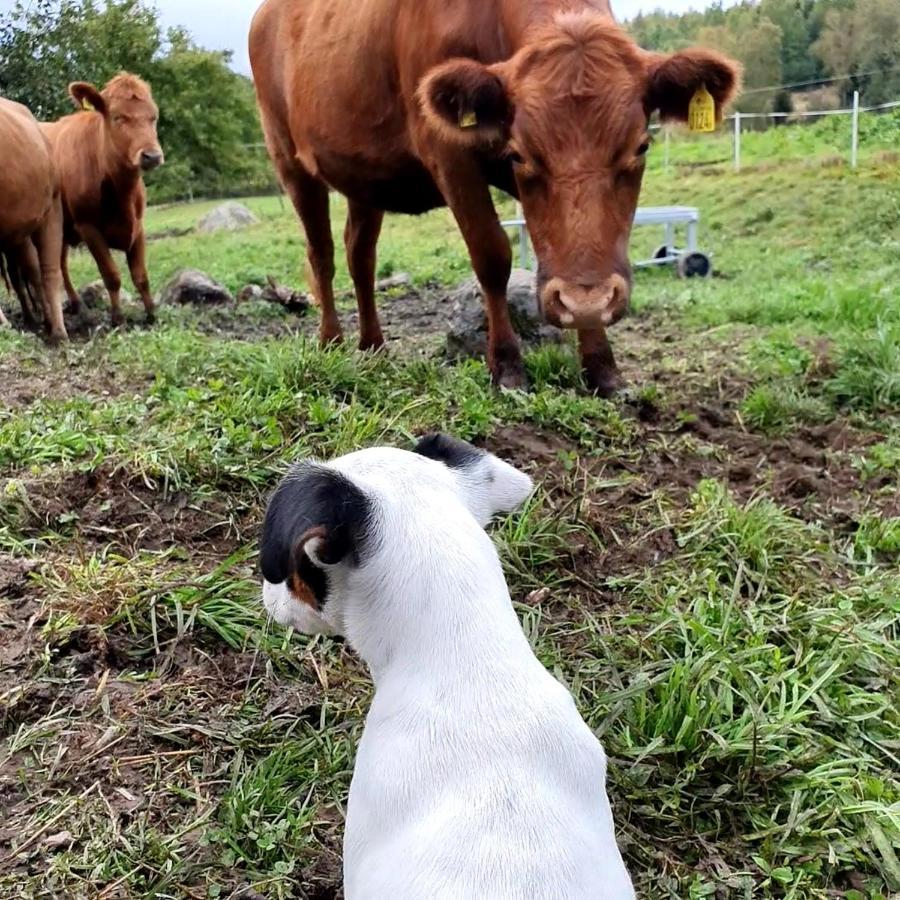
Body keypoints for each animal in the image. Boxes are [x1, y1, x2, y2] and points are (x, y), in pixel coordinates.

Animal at [43, 73, 165, 326]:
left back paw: (77, 304)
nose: (152, 156)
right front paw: (117, 318)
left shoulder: (138, 227)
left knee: (60, 264)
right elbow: (111, 275)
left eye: (153, 117)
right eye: (118, 117)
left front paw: (151, 314)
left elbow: (141, 276)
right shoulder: (88, 228)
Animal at [248, 0, 740, 394]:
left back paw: (373, 346)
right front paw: (506, 365)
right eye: (520, 153)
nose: (586, 303)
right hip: (288, 159)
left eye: (640, 146)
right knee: (322, 253)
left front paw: (602, 366)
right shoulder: (449, 154)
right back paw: (331, 342)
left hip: (364, 176)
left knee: (360, 254)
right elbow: (492, 255)